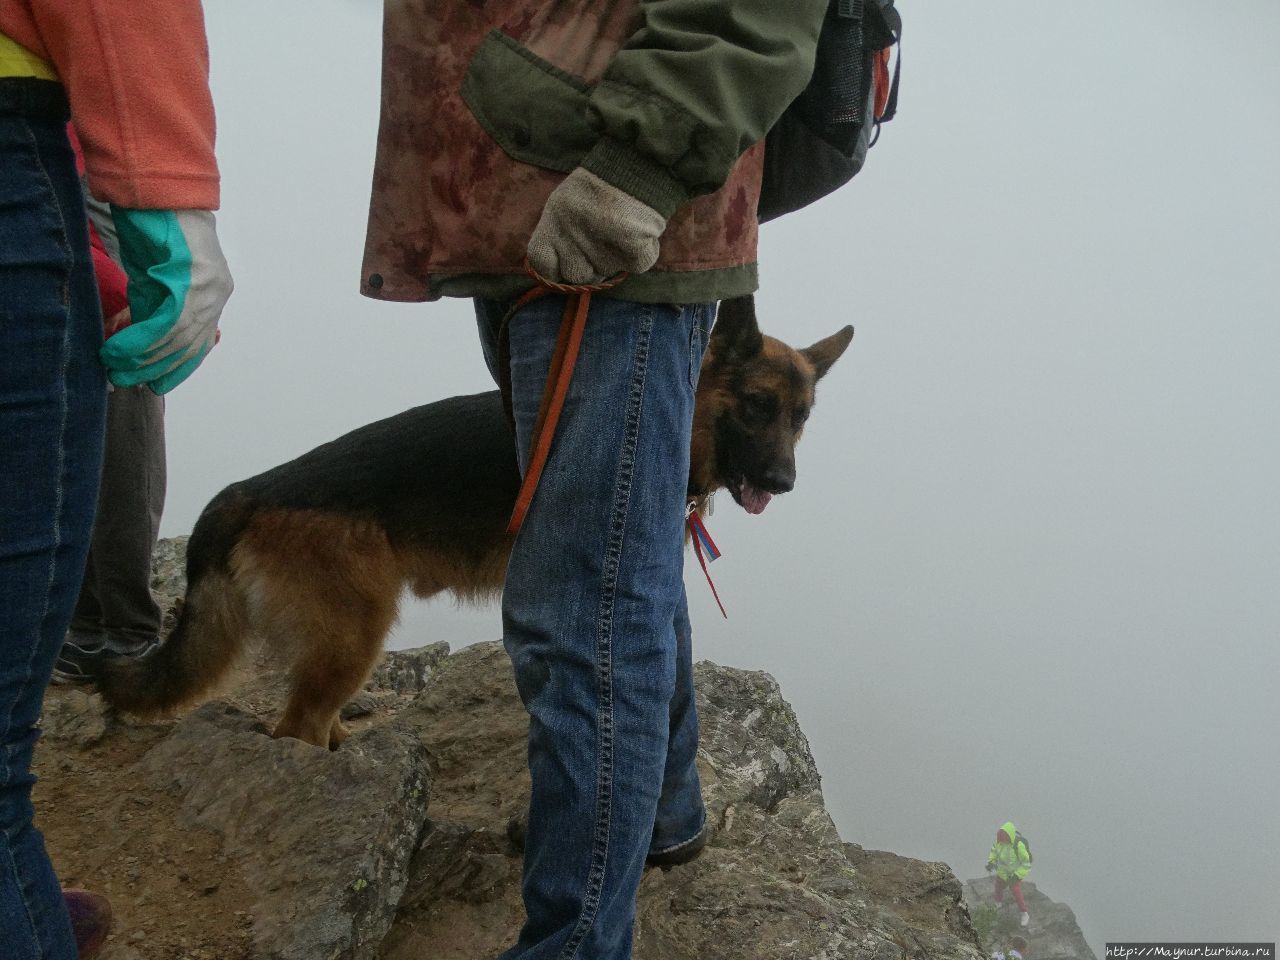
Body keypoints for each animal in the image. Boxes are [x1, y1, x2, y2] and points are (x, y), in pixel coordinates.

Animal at [94, 296, 844, 747]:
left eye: (801, 416)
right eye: (756, 405)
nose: (784, 483)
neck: (676, 425)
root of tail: (247, 491)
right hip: (351, 639)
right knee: (297, 724)